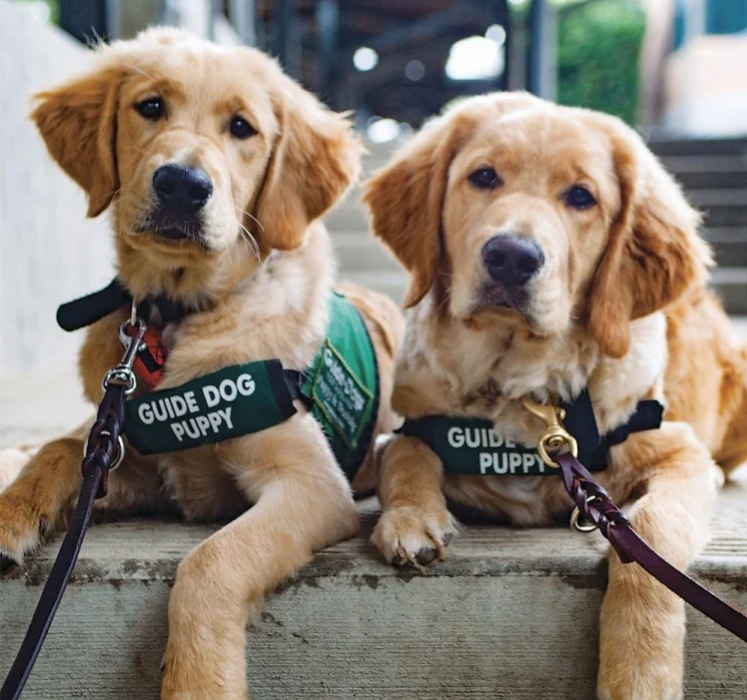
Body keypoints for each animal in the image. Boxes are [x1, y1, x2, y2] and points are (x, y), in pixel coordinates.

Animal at [0, 28, 404, 700]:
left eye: (242, 127)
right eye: (150, 107)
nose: (183, 185)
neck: (176, 313)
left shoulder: (313, 484)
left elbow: (209, 561)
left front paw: (196, 680)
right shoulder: (133, 459)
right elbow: (60, 448)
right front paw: (11, 514)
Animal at [364, 90, 747, 696]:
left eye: (581, 197)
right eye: (483, 176)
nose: (512, 256)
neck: (527, 386)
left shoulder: (678, 450)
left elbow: (650, 533)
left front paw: (640, 669)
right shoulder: (414, 420)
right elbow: (405, 449)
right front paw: (409, 517)